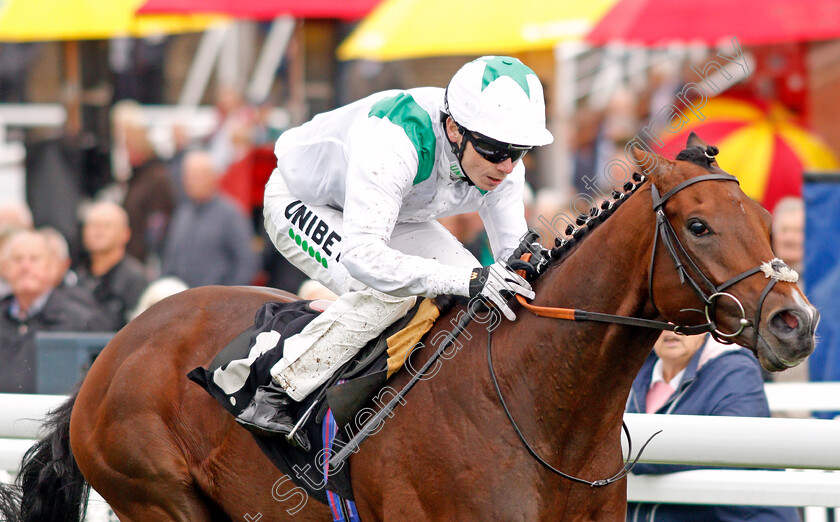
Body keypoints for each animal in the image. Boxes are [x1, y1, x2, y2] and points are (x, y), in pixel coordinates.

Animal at [0, 136, 812, 516]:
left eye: (764, 214)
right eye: (699, 225)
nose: (796, 323)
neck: (542, 411)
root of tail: (112, 353)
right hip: (156, 494)